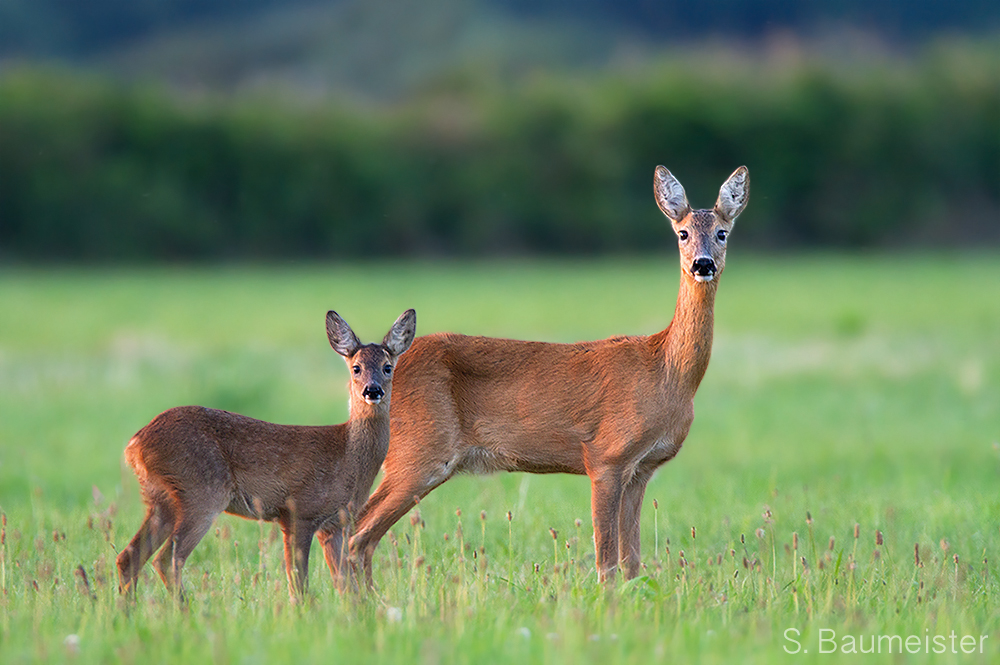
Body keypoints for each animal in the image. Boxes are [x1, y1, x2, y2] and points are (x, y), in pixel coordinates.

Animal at [116, 308, 414, 600]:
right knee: (167, 560)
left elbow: (347, 586)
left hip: (161, 499)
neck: (348, 456)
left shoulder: (335, 524)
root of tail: (135, 444)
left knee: (128, 557)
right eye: (356, 368)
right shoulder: (299, 511)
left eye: (388, 367)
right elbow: (299, 584)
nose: (372, 390)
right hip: (200, 493)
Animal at [348, 165, 748, 580]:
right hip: (417, 450)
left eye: (722, 232)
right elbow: (606, 562)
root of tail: (383, 366)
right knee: (355, 532)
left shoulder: (641, 469)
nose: (703, 263)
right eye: (682, 232)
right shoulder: (606, 455)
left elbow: (631, 563)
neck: (666, 371)